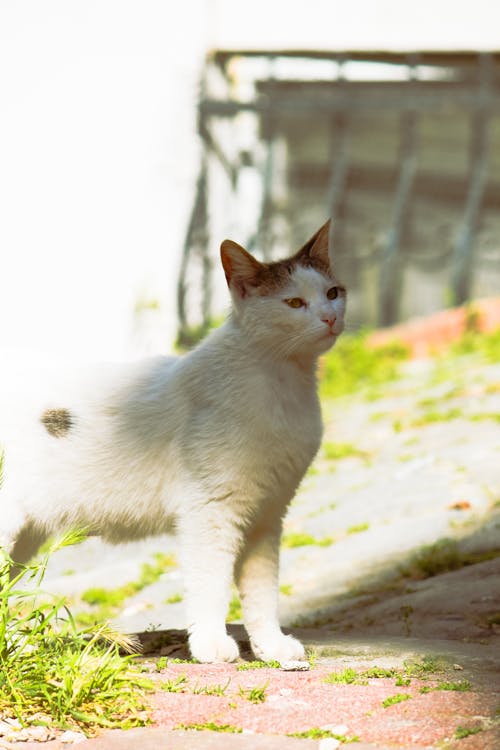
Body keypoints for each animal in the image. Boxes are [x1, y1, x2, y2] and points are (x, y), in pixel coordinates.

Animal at [0, 222, 346, 664]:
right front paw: (212, 646)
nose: (329, 317)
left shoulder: (267, 516)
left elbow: (262, 593)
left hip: (25, 535)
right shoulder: (210, 513)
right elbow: (210, 584)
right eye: (294, 302)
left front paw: (271, 647)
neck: (282, 382)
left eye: (333, 292)